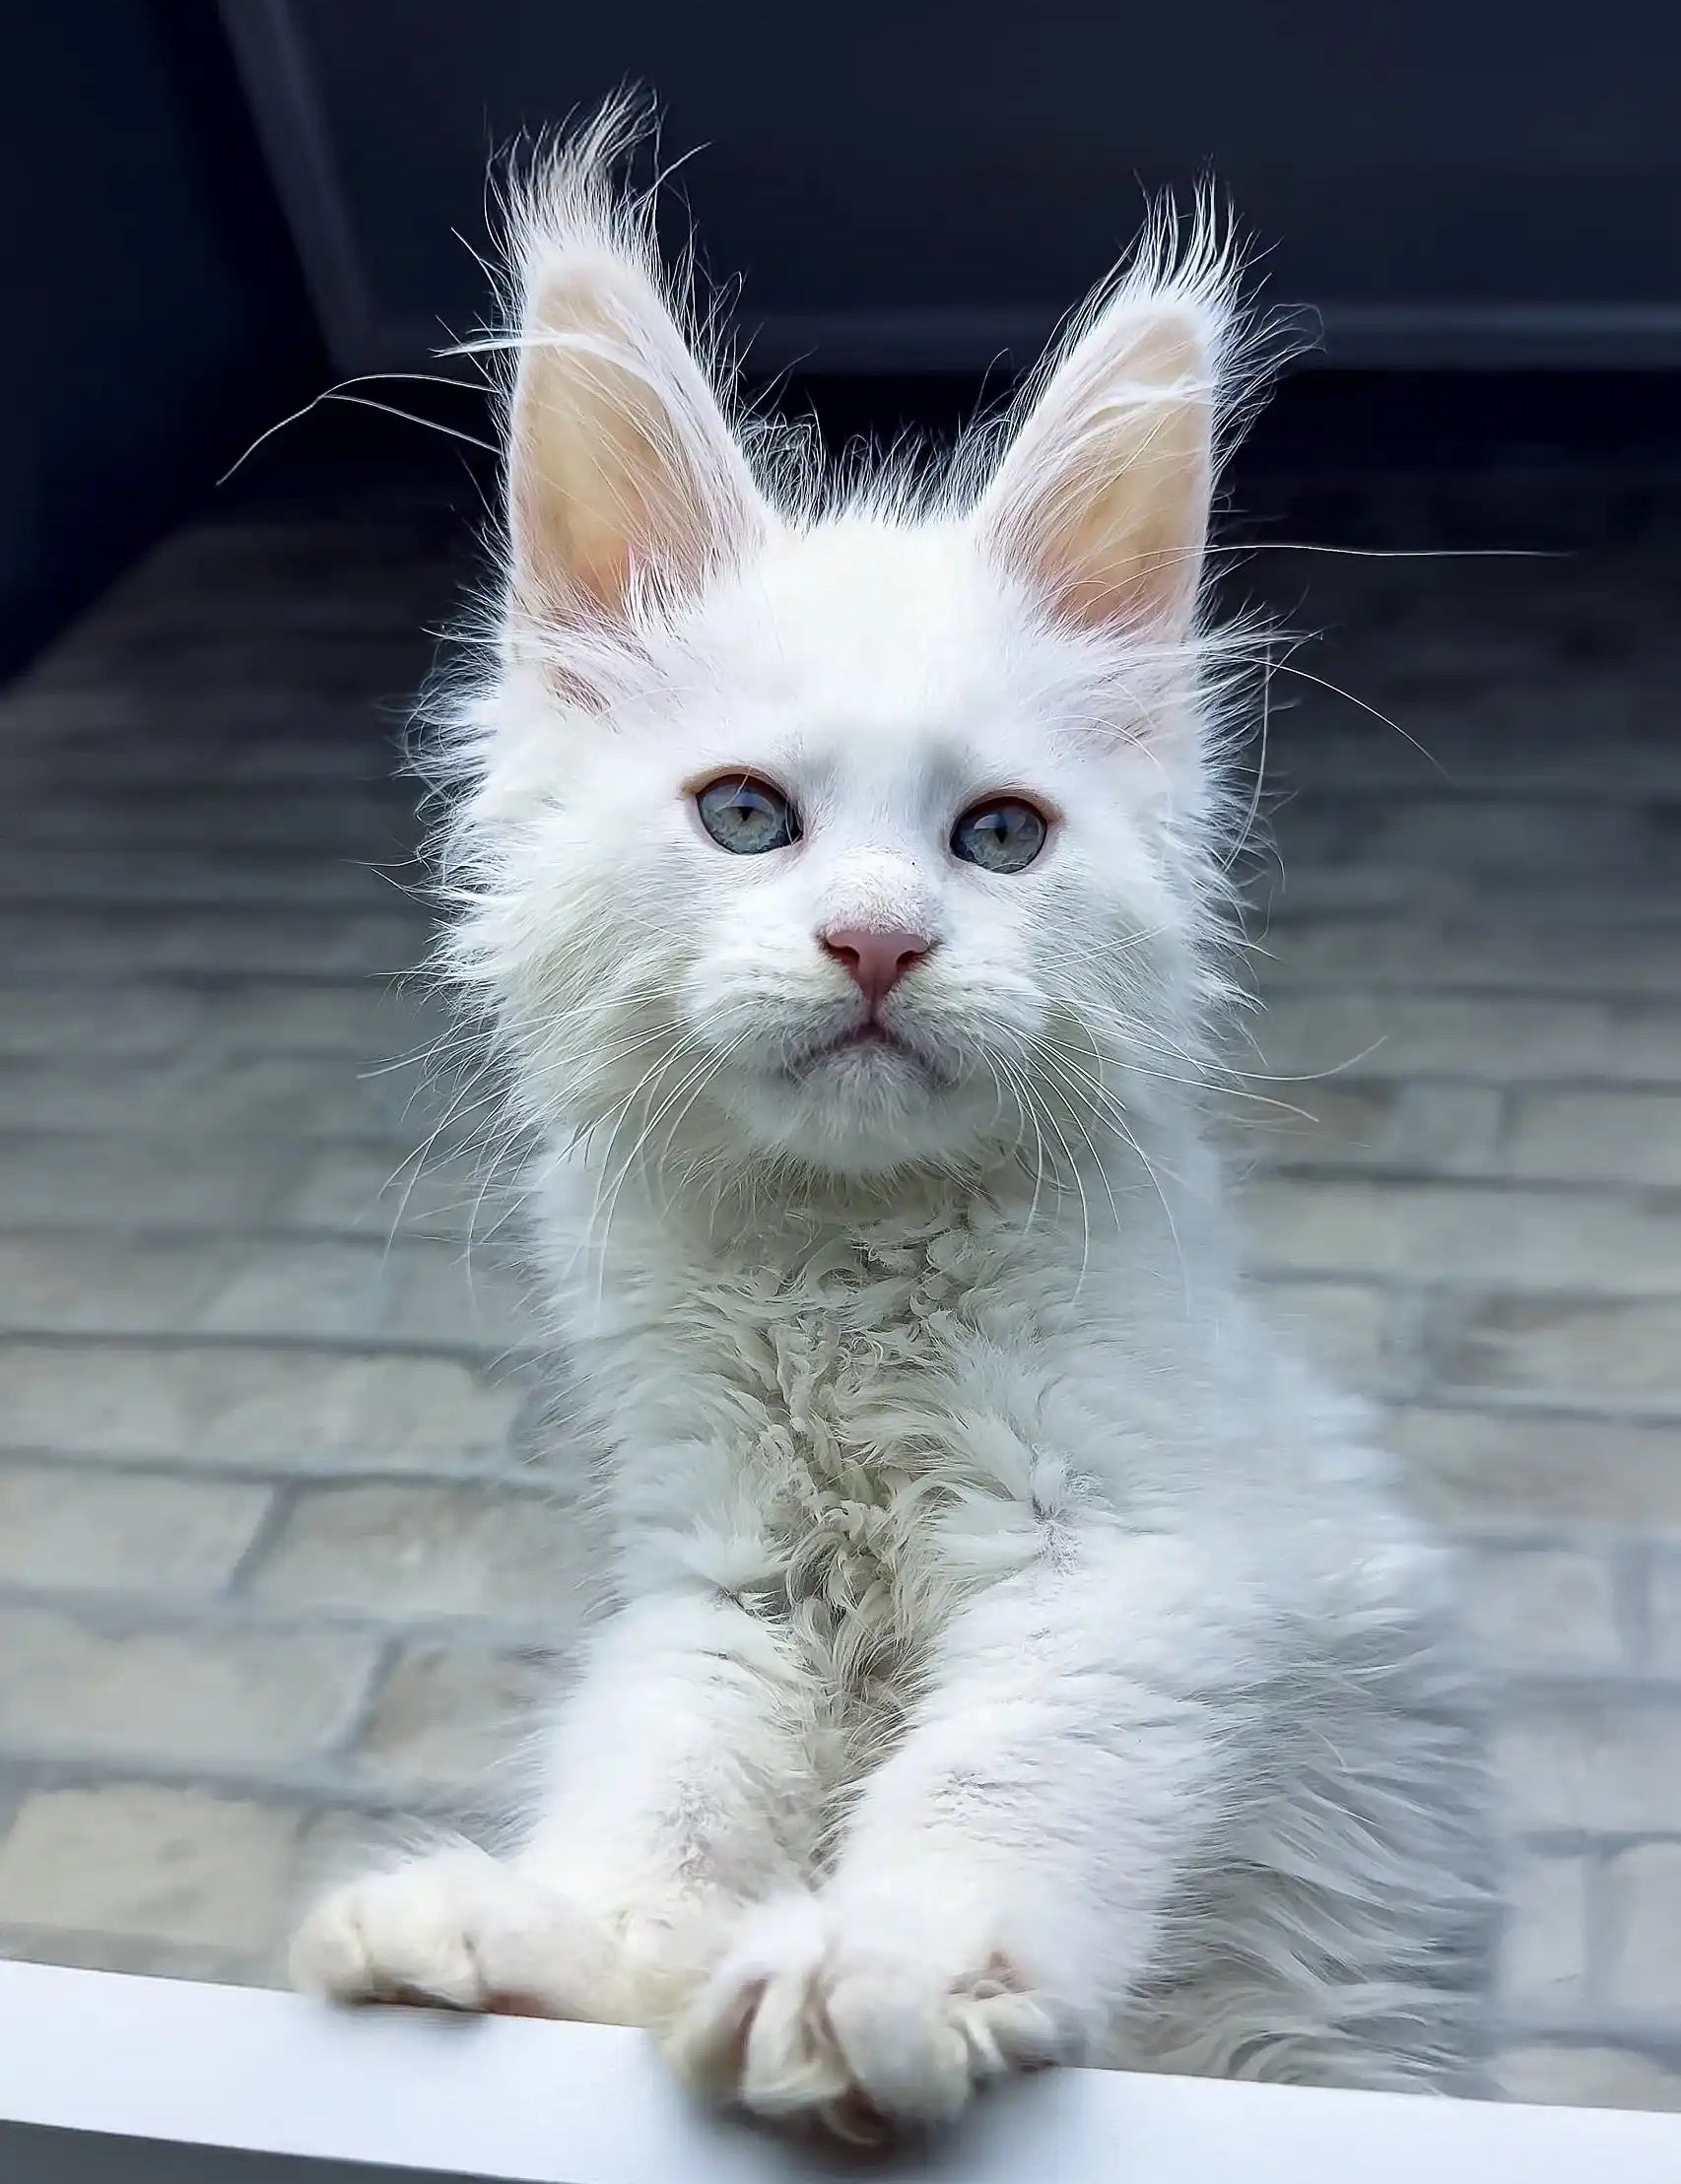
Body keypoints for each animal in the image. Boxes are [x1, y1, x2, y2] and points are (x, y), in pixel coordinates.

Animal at [295, 114, 1484, 2131]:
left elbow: (990, 1782)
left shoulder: (1127, 1560)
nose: (876, 939)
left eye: (996, 837)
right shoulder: (726, 1587)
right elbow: (659, 1800)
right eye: (746, 817)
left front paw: (878, 1966)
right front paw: (540, 1942)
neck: (840, 1282)